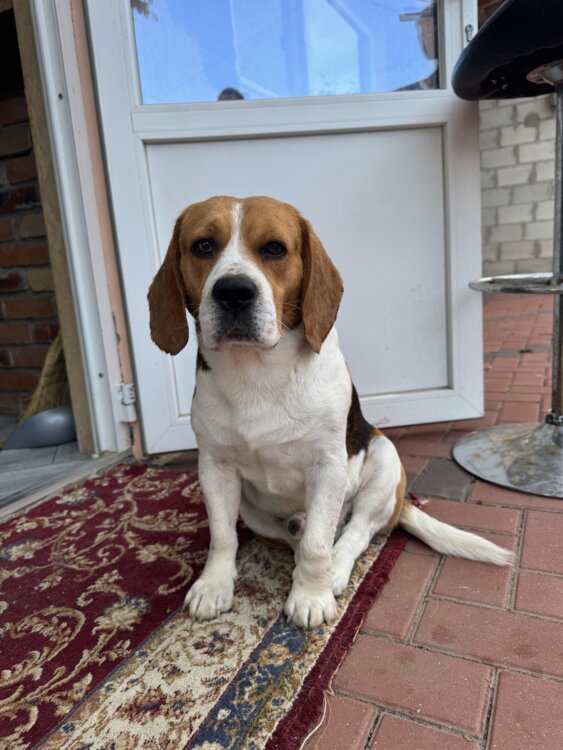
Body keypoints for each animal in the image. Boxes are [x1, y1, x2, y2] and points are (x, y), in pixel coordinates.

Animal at [148, 195, 512, 629]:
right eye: (203, 246)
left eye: (274, 248)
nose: (233, 292)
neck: (256, 372)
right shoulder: (214, 468)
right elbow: (223, 536)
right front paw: (214, 586)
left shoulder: (328, 466)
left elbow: (319, 545)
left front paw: (310, 596)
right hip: (253, 510)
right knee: (296, 537)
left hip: (385, 460)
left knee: (355, 532)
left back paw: (335, 572)